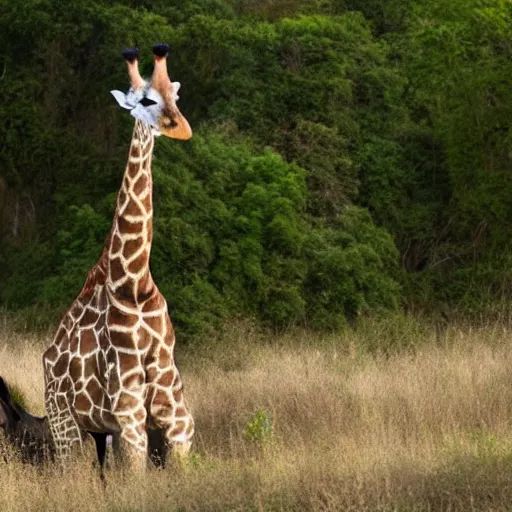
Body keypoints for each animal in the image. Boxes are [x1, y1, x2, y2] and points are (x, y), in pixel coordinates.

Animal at [41, 45, 194, 472]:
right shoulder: (128, 412)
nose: (181, 128)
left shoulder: (176, 415)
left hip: (99, 432)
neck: (135, 285)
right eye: (145, 101)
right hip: (64, 424)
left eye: (176, 97)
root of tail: (47, 357)